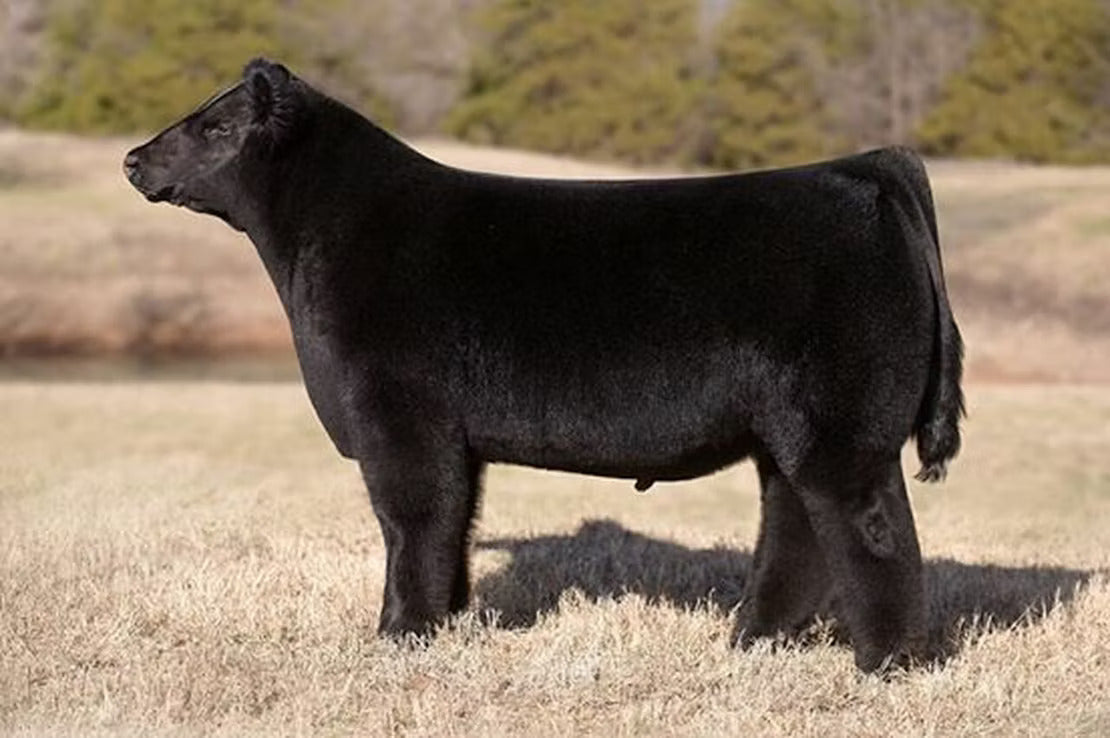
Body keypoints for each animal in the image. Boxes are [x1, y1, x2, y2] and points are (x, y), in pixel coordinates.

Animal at [123, 58, 964, 672]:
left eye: (215, 124)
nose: (133, 159)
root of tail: (861, 170)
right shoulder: (452, 437)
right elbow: (454, 522)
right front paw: (446, 622)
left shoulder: (397, 417)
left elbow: (411, 521)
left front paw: (399, 633)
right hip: (790, 433)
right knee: (797, 527)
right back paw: (753, 640)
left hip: (840, 430)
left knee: (873, 530)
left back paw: (888, 662)